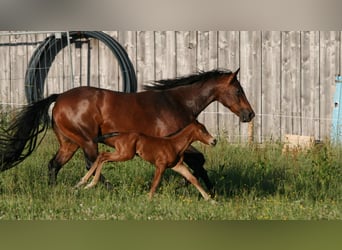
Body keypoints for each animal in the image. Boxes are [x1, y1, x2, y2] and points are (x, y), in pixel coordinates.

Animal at [76, 120, 218, 200]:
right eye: (202, 131)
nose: (214, 141)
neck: (174, 144)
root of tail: (120, 134)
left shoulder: (178, 166)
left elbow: (193, 179)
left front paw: (210, 200)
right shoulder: (160, 165)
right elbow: (155, 183)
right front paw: (148, 200)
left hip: (121, 153)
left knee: (101, 156)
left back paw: (84, 182)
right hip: (125, 155)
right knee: (103, 157)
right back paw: (88, 183)